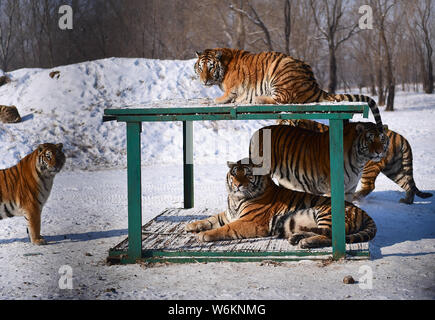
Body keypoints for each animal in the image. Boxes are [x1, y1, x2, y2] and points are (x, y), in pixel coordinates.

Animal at [186, 160, 376, 248]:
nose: (238, 184)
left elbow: (225, 229)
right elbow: (211, 219)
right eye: (234, 173)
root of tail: (364, 212)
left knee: (332, 236)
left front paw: (203, 235)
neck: (235, 198)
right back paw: (297, 238)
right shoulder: (228, 214)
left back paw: (307, 242)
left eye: (247, 174)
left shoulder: (250, 221)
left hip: (326, 212)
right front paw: (191, 225)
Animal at [194, 47, 384, 131]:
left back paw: (256, 98)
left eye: (210, 67)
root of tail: (313, 83)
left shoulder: (232, 88)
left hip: (279, 75)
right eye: (200, 67)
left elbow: (225, 95)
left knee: (282, 99)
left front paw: (216, 99)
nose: (204, 81)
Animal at [280, 119, 432, 204]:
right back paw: (407, 201)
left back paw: (357, 198)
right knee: (407, 184)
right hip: (394, 169)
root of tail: (401, 137)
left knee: (370, 186)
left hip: (370, 168)